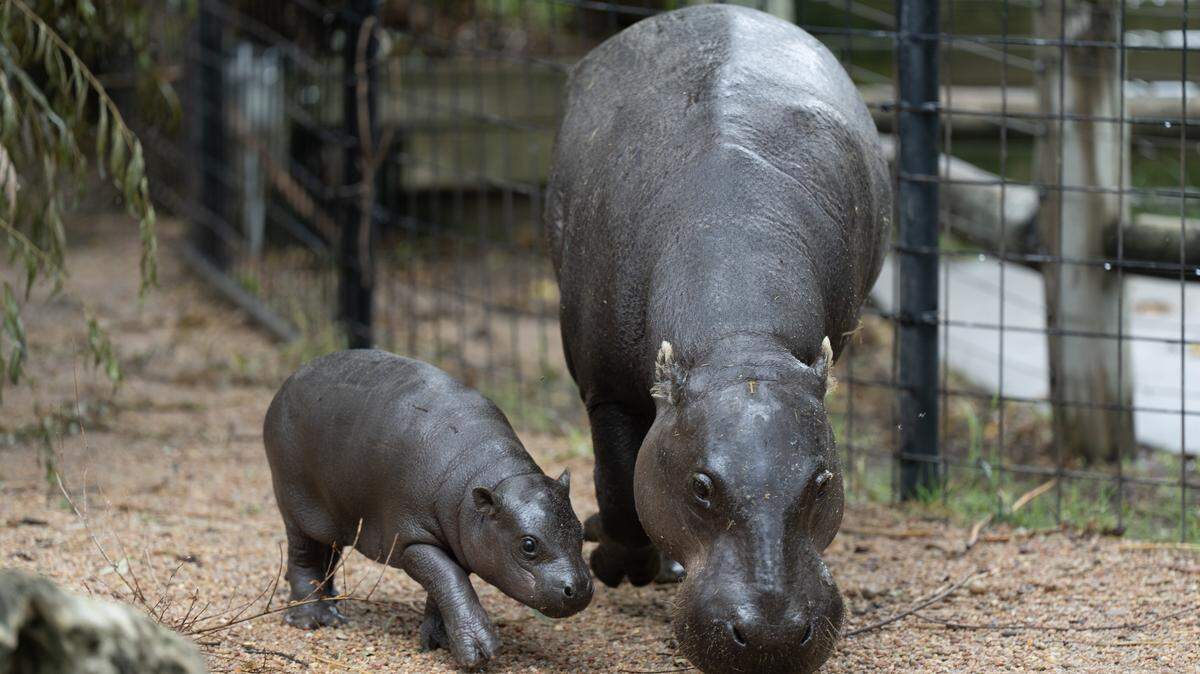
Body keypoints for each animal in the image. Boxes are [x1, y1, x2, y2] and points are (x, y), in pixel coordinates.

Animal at [263, 349, 593, 670]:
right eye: (528, 545)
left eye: (581, 532)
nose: (579, 588)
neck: (492, 479)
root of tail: (289, 379)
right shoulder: (413, 541)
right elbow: (449, 578)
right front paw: (479, 650)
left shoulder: (458, 541)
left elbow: (445, 585)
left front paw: (440, 642)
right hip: (295, 500)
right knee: (303, 555)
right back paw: (315, 618)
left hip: (335, 513)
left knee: (329, 551)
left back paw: (333, 601)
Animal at [544, 6, 890, 673]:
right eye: (701, 487)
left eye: (822, 482)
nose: (771, 638)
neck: (740, 340)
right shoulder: (606, 385)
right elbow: (620, 479)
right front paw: (619, 566)